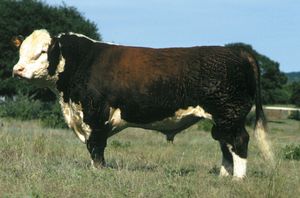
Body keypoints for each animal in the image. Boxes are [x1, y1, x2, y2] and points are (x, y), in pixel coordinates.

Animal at [12, 29, 274, 179]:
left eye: (42, 52)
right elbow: (92, 147)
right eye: (21, 50)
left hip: (230, 114)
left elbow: (96, 147)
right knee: (225, 145)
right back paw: (222, 178)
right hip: (222, 119)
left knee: (239, 141)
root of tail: (237, 51)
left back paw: (237, 180)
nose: (17, 70)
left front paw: (98, 173)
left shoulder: (96, 115)